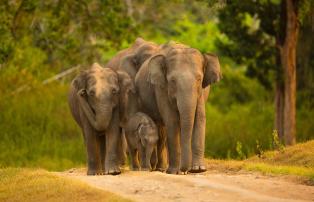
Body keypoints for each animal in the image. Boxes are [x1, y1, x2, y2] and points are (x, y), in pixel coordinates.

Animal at [134, 41, 221, 174]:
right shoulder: (161, 88)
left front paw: (198, 170)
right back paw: (160, 169)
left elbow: (200, 118)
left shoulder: (201, 92)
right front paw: (174, 172)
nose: (185, 170)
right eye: (173, 81)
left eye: (199, 79)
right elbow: (172, 120)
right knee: (160, 129)